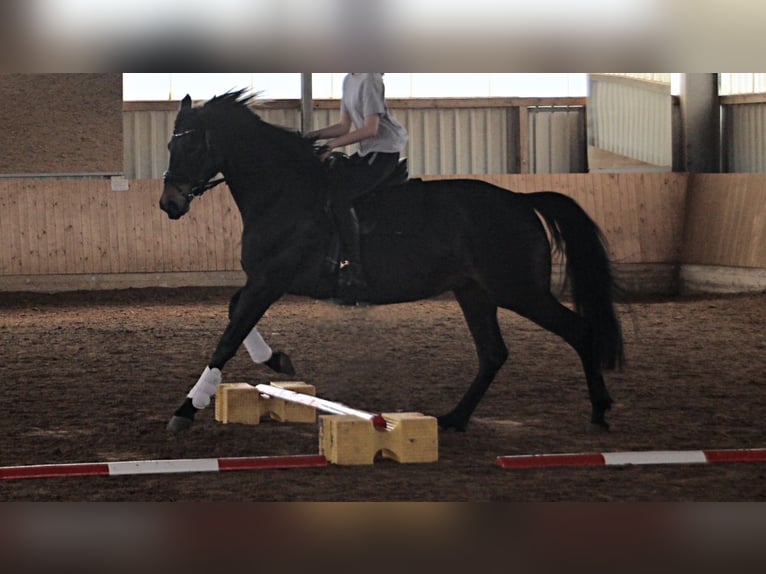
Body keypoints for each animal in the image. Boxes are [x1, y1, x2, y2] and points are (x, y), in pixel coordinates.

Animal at [160, 91, 624, 432]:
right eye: (169, 144)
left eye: (190, 144)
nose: (169, 204)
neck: (282, 193)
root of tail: (521, 200)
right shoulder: (263, 280)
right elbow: (233, 312)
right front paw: (277, 360)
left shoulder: (270, 280)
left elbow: (228, 336)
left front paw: (187, 408)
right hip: (474, 292)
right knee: (493, 353)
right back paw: (454, 419)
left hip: (519, 291)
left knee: (579, 331)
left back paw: (600, 411)